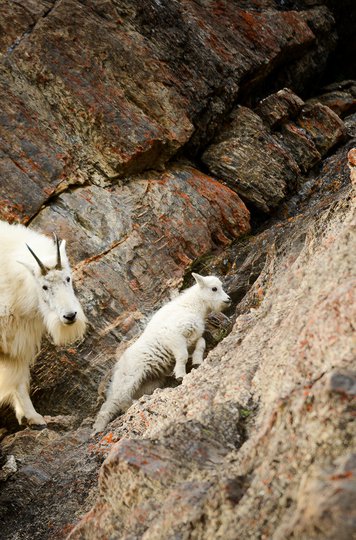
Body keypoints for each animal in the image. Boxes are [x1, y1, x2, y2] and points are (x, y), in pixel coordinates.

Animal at [0, 219, 86, 426]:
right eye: (45, 286)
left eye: (68, 278)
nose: (70, 316)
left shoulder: (17, 342)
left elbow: (19, 379)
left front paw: (33, 418)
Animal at [92, 272, 231, 432]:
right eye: (214, 288)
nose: (228, 300)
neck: (192, 306)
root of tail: (117, 366)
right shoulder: (173, 336)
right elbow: (182, 356)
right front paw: (180, 375)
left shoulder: (191, 339)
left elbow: (200, 344)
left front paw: (197, 362)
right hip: (128, 378)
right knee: (112, 402)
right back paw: (98, 428)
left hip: (147, 383)